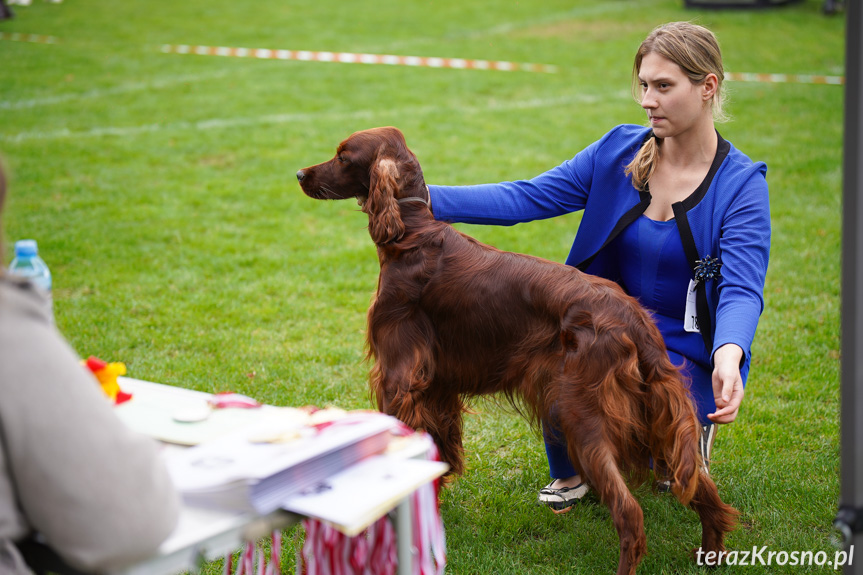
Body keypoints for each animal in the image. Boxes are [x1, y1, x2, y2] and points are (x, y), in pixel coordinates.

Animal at [296, 127, 736, 575]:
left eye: (343, 156)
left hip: (581, 413)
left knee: (630, 514)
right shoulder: (436, 385)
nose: (299, 174)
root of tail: (634, 318)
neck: (411, 231)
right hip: (648, 414)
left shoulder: (399, 379)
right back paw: (711, 554)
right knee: (705, 493)